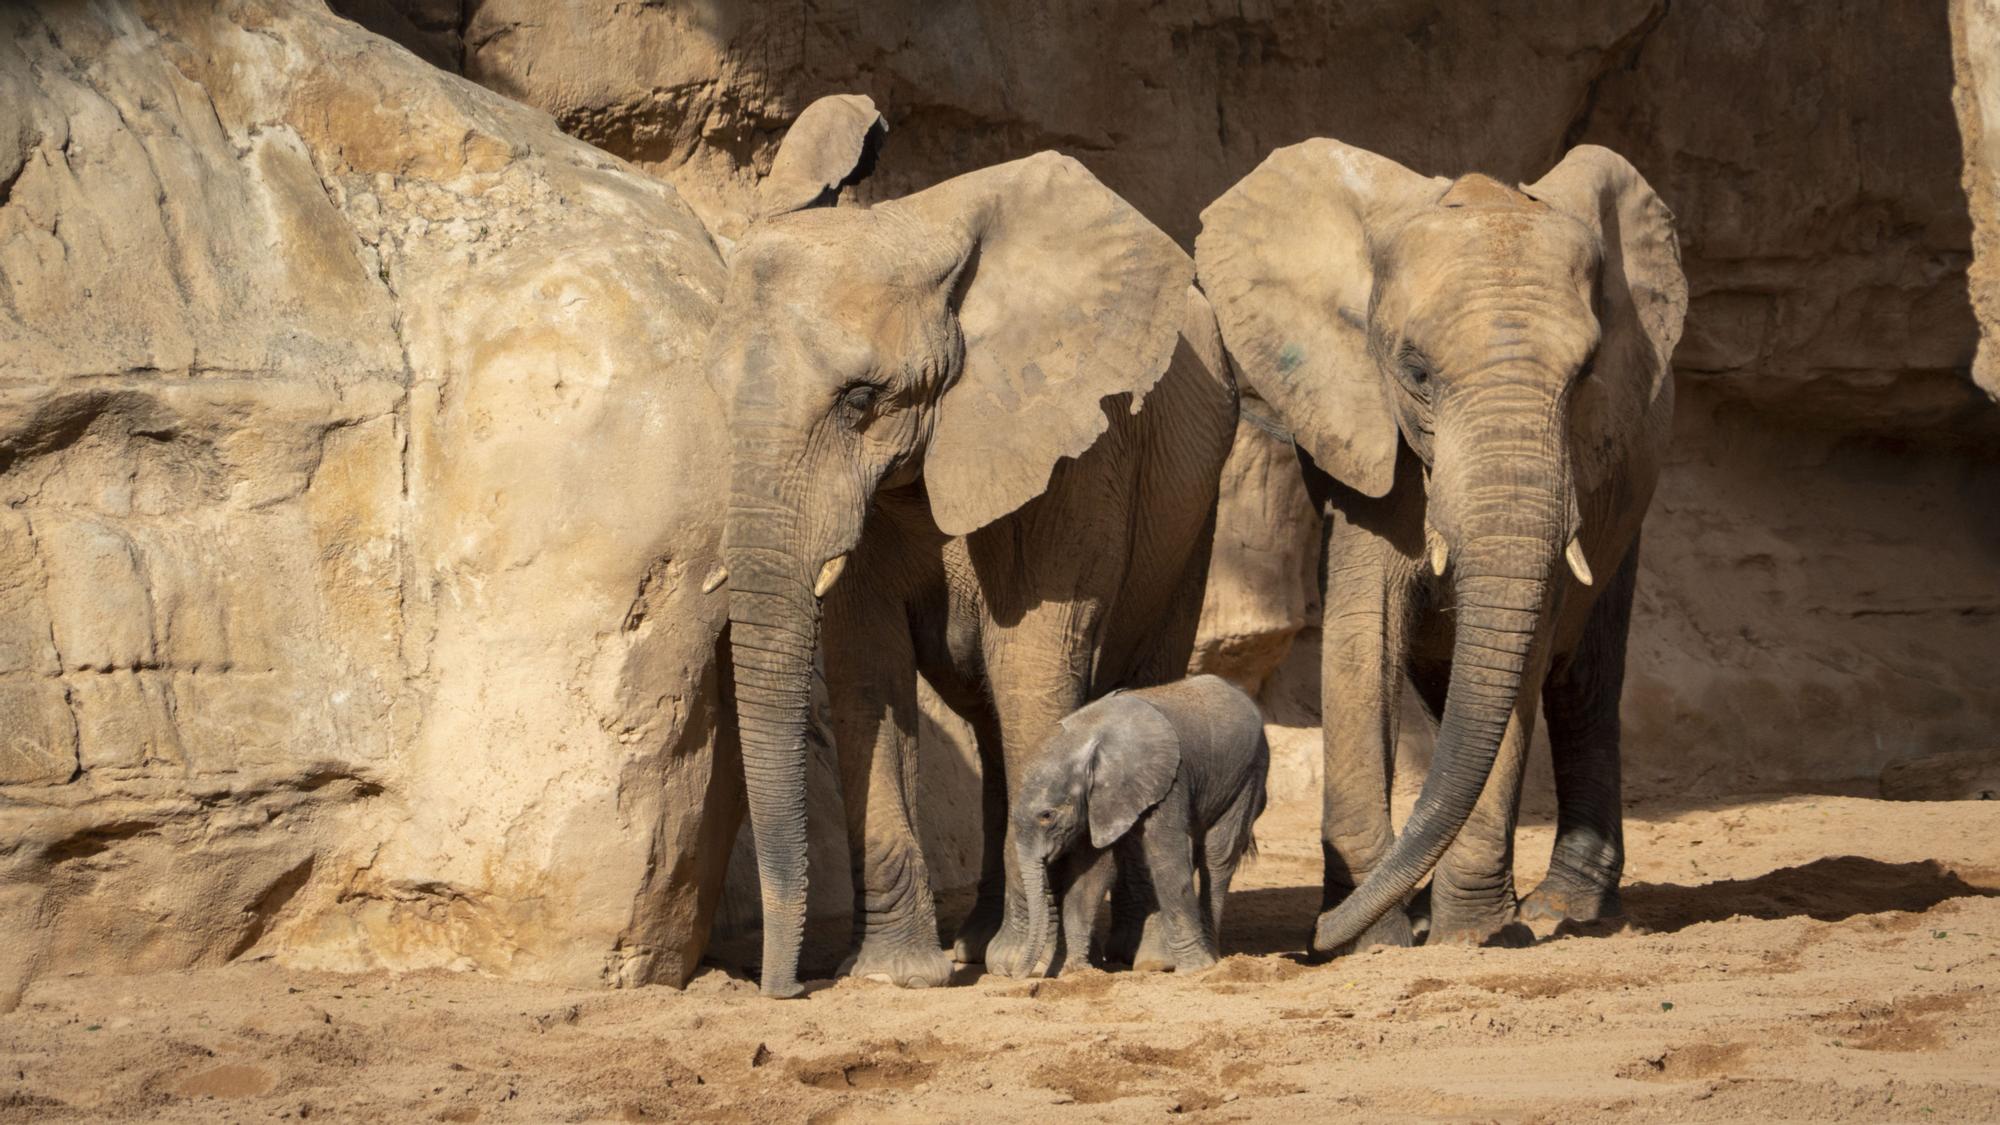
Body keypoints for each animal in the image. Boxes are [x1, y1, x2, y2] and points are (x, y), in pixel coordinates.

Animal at [704, 94, 1232, 988]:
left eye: (860, 399)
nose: (783, 986)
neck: (919, 226)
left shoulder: (1083, 447)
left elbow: (1033, 658)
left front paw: (1030, 965)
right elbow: (866, 665)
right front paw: (897, 975)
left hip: (1195, 511)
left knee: (1137, 678)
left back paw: (1142, 953)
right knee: (990, 721)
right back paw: (984, 940)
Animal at [1016, 668, 1264, 968]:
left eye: (1046, 816)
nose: (1018, 974)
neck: (1084, 737)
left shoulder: (1168, 781)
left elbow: (1166, 857)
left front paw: (1195, 968)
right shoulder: (1100, 802)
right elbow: (1092, 872)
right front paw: (1077, 970)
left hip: (1247, 775)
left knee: (1217, 857)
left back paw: (1208, 959)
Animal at [1192, 138, 1680, 944]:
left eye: (1585, 375)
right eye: (1415, 371)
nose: (1311, 944)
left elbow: (1525, 649)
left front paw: (1470, 935)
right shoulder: (1367, 430)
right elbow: (1365, 632)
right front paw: (1375, 936)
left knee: (1579, 682)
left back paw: (1560, 908)